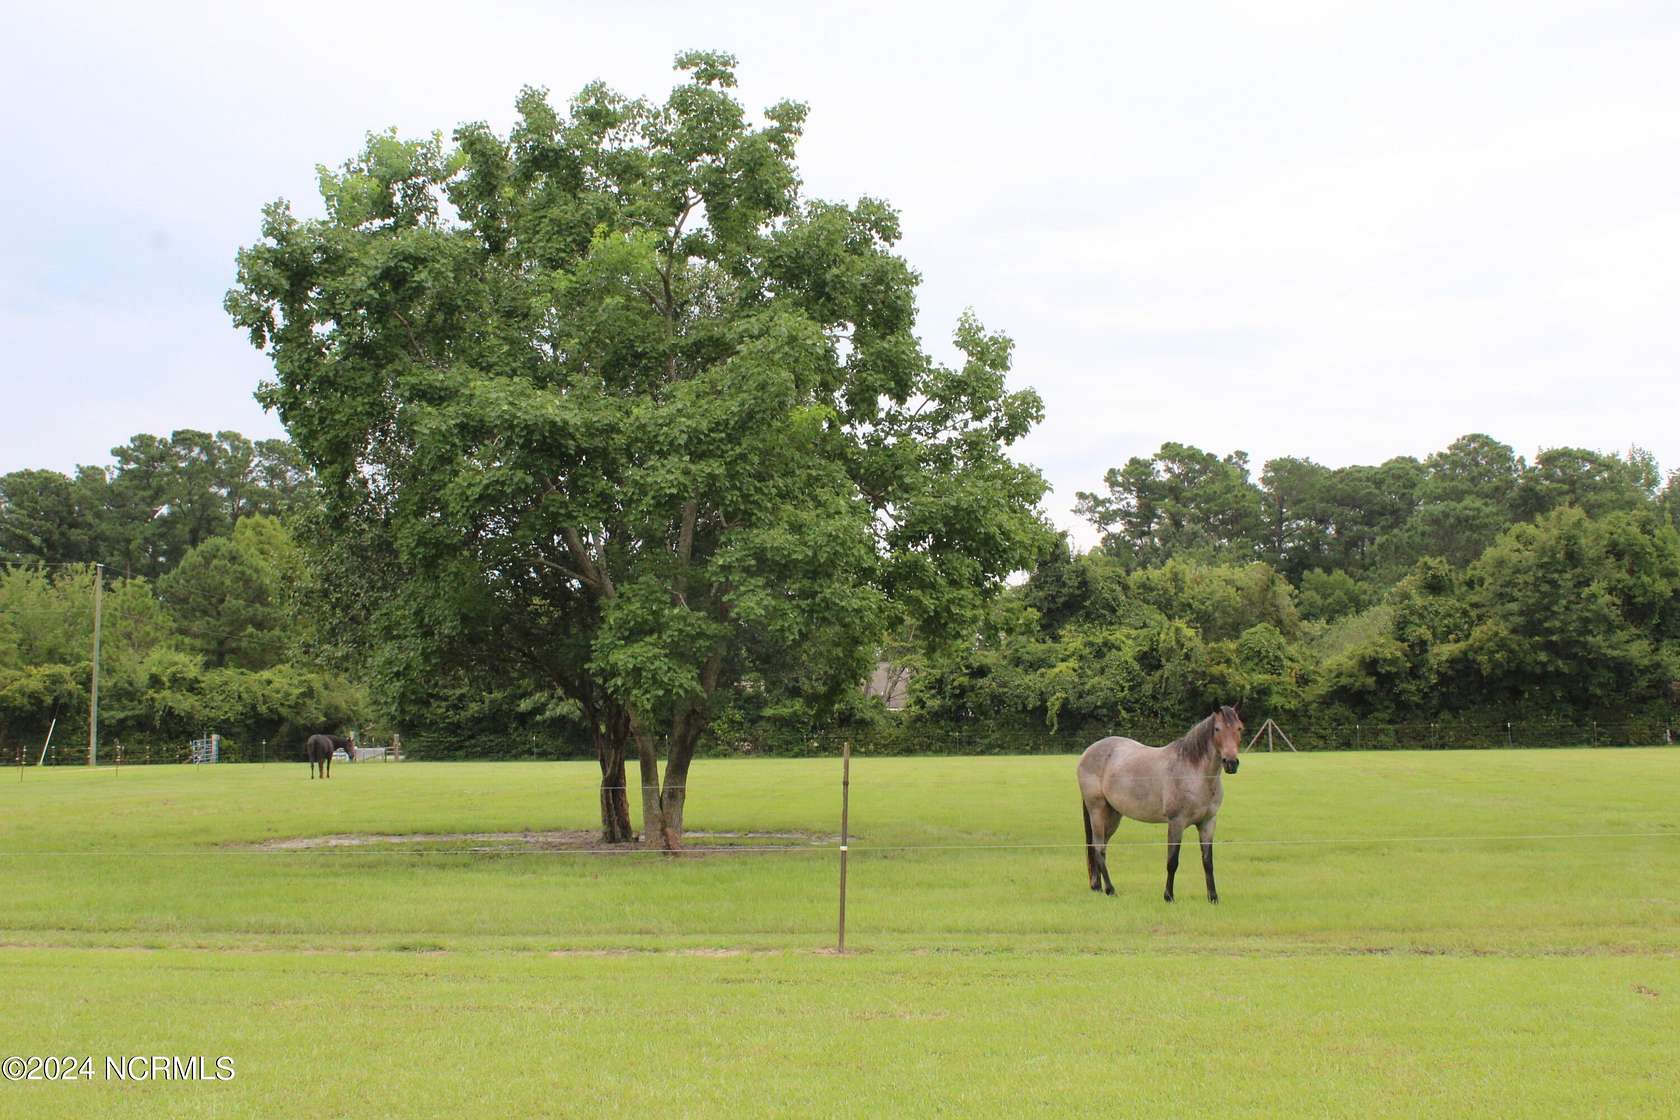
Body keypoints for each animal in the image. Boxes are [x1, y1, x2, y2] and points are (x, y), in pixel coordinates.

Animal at [1081, 708, 1243, 900]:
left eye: (1239, 728)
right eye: (1217, 729)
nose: (1231, 763)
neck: (1194, 773)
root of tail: (1088, 751)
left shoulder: (1208, 823)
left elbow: (1207, 862)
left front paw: (1213, 897)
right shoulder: (1176, 823)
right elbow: (1172, 861)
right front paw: (1168, 896)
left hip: (1113, 815)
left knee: (1100, 847)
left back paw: (1098, 886)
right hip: (1097, 810)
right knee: (1098, 848)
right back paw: (1110, 889)